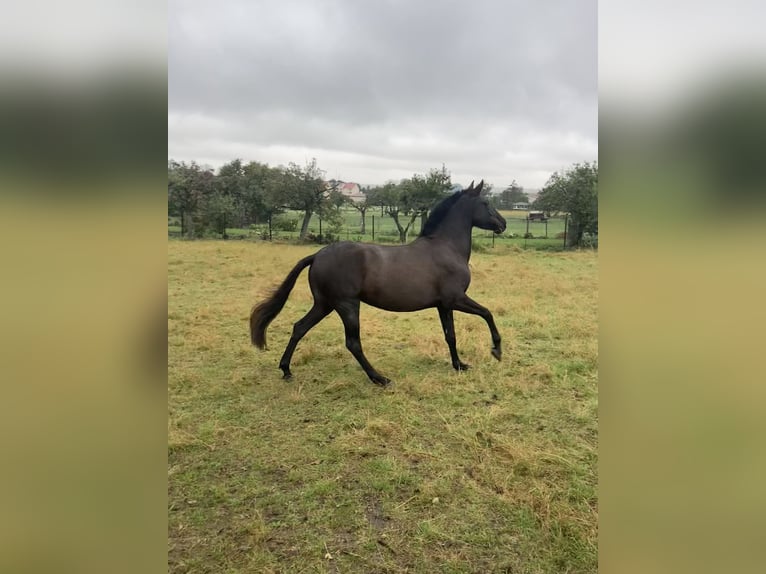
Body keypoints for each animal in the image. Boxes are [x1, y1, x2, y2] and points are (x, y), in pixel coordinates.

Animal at [249, 180, 508, 388]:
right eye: (486, 202)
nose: (503, 224)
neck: (446, 247)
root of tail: (318, 255)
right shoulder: (456, 299)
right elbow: (487, 313)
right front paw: (496, 351)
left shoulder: (444, 305)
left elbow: (450, 336)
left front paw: (459, 365)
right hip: (347, 305)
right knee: (353, 343)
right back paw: (379, 378)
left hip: (324, 305)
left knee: (299, 328)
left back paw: (286, 370)